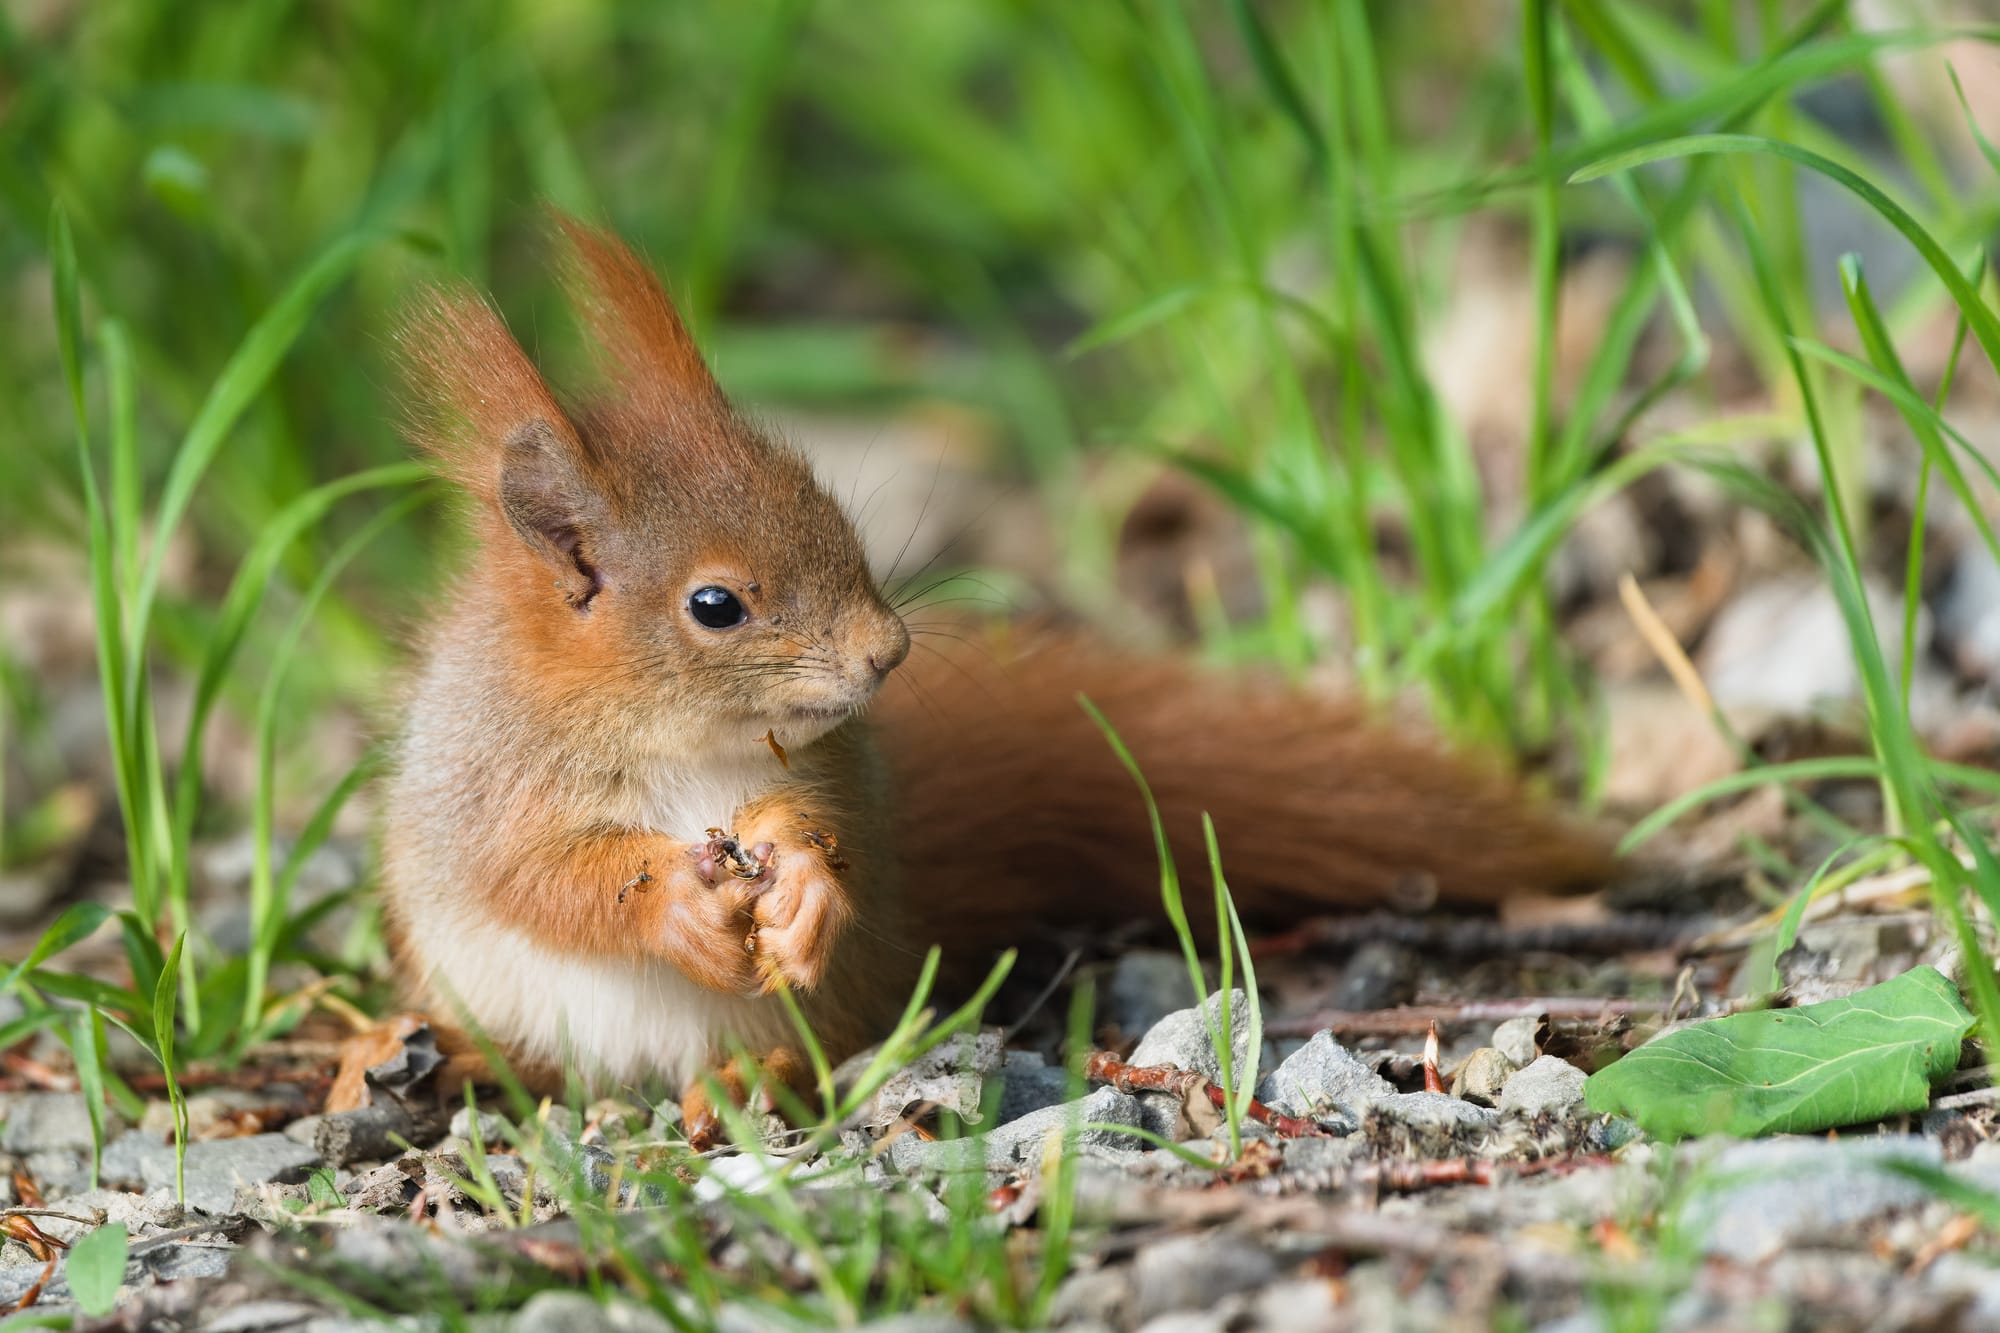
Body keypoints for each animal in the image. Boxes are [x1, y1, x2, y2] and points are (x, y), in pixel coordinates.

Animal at [379, 215, 1611, 1144]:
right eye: (714, 606)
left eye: (834, 516)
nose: (885, 652)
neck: (685, 743)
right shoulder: (488, 782)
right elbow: (539, 877)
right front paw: (673, 900)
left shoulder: (830, 770)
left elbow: (832, 837)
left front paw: (806, 882)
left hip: (800, 1011)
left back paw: (741, 1081)